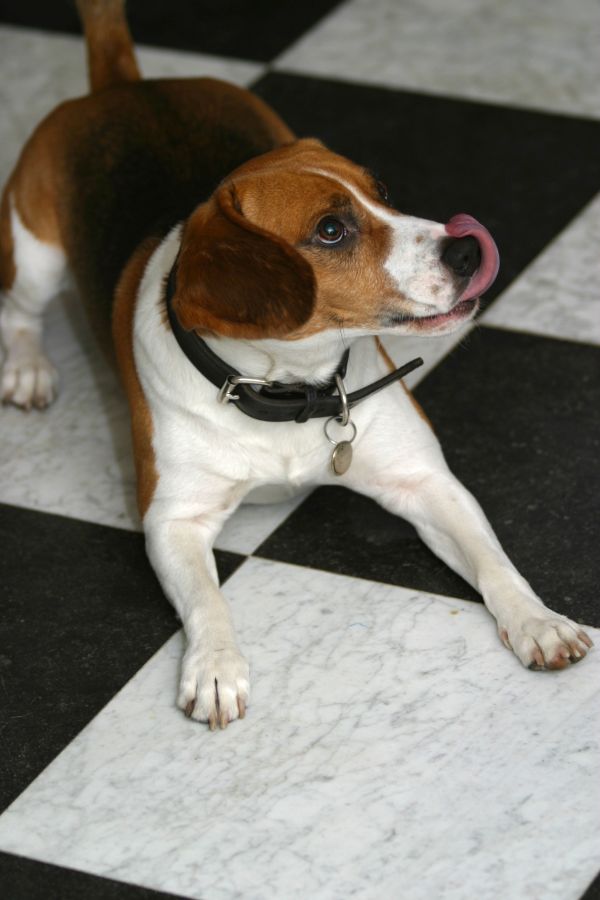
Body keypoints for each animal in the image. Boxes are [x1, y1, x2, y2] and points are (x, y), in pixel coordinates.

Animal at [0, 1, 592, 732]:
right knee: (19, 313)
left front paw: (537, 620)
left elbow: (494, 560)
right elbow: (207, 600)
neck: (290, 391)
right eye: (331, 230)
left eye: (383, 191)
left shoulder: (426, 482)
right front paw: (215, 667)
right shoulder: (172, 519)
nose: (465, 250)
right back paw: (28, 369)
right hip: (35, 254)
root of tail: (125, 83)